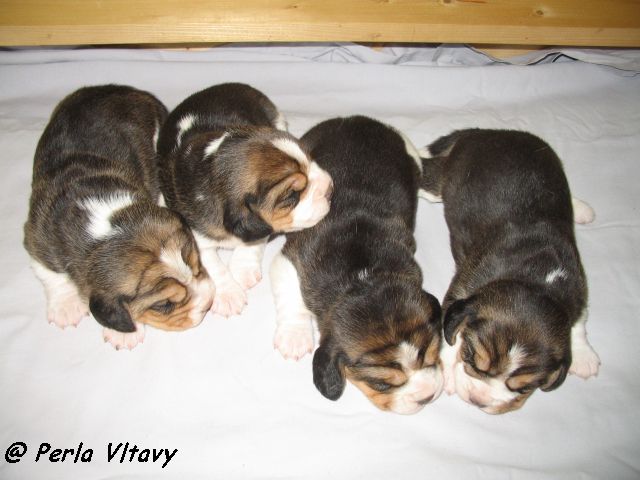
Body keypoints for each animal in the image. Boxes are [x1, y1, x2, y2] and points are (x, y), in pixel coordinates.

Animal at [24, 85, 215, 350]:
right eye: (163, 305)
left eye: (198, 265)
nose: (208, 304)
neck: (107, 221)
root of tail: (126, 89)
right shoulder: (36, 236)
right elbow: (50, 273)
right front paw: (66, 307)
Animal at [157, 83, 333, 317]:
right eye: (292, 196)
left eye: (311, 159)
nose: (330, 188)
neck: (213, 169)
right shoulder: (195, 234)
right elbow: (212, 264)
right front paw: (229, 295)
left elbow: (252, 244)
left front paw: (243, 270)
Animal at [270, 116, 443, 415]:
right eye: (382, 384)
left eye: (432, 355)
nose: (427, 397)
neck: (363, 279)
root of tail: (357, 119)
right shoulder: (292, 258)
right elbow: (291, 295)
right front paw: (294, 337)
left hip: (408, 152)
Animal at [419, 128, 600, 414]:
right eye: (472, 359)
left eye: (524, 388)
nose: (479, 401)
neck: (534, 279)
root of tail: (483, 133)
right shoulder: (462, 286)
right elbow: (450, 331)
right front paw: (447, 370)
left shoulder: (577, 287)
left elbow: (579, 323)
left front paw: (584, 357)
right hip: (440, 180)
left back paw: (580, 209)